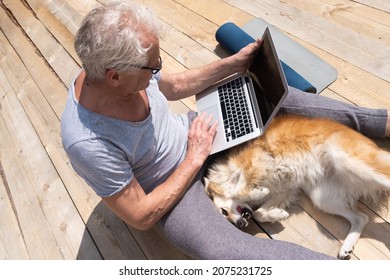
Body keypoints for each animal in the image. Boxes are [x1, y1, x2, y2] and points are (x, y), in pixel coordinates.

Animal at [204, 112, 390, 260]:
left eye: (223, 211)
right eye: (225, 216)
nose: (241, 224)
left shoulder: (256, 160)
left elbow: (239, 190)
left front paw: (255, 192)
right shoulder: (283, 190)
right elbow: (259, 213)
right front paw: (277, 214)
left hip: (348, 160)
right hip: (323, 198)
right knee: (361, 218)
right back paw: (347, 247)